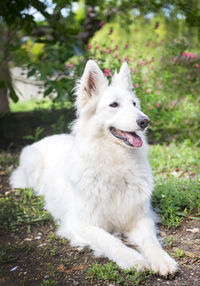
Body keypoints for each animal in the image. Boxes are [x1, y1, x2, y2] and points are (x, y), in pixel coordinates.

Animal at [10, 59, 177, 274]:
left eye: (134, 104)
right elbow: (109, 240)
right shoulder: (79, 223)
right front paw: (132, 258)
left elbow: (151, 241)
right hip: (31, 163)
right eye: (114, 104)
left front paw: (162, 259)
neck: (115, 164)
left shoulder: (141, 217)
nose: (145, 121)